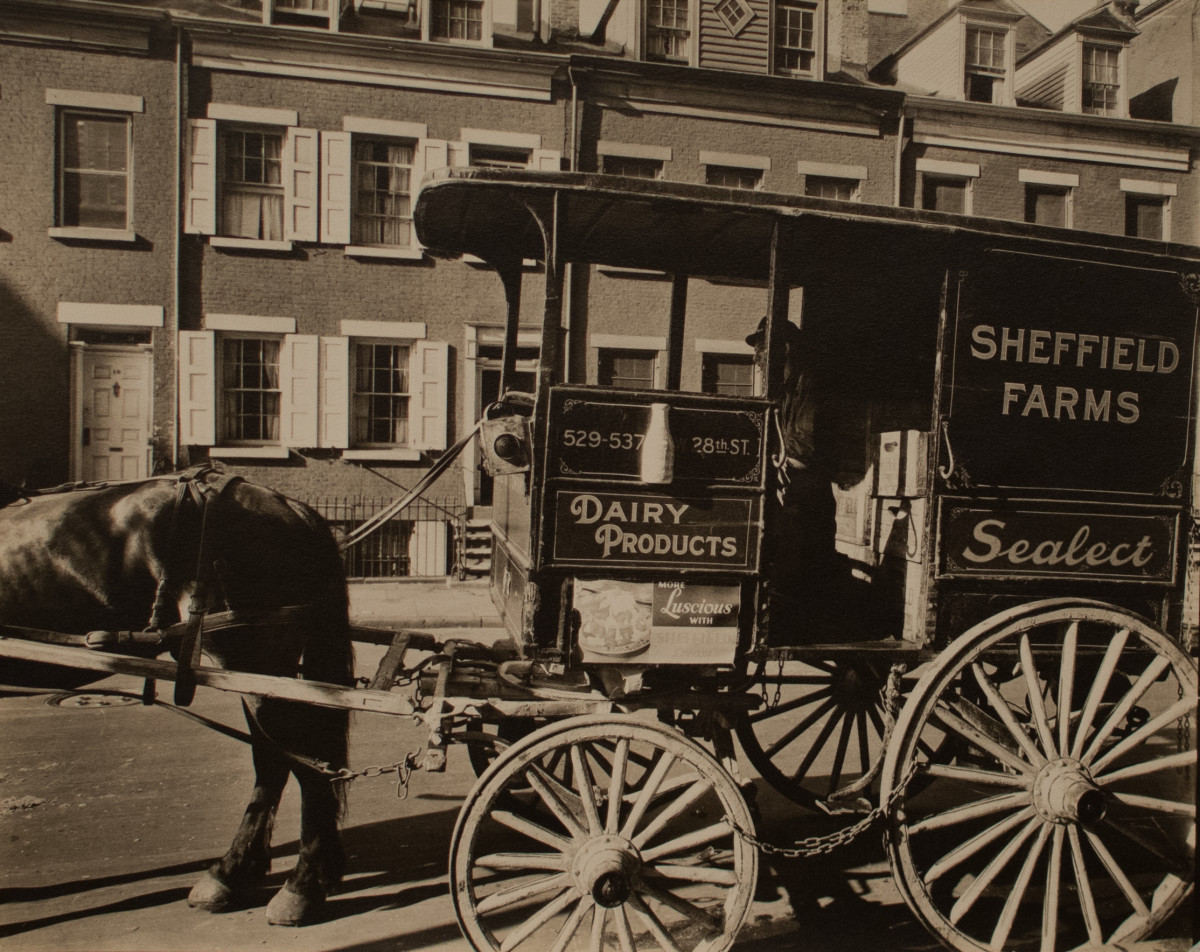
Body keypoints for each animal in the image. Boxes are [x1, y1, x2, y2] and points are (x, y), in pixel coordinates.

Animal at [0, 463, 355, 926]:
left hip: (258, 657)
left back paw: (302, 886)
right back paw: (236, 872)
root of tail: (287, 504)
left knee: (295, 760)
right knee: (278, 760)